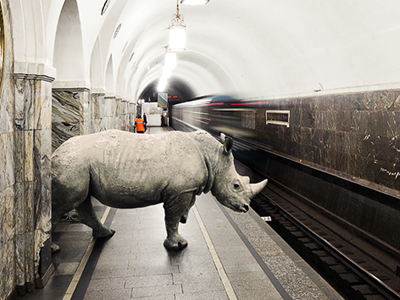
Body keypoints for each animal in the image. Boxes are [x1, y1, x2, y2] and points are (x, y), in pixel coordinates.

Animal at [51, 130, 268, 250]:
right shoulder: (179, 191)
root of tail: (55, 152)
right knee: (66, 202)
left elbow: (181, 213)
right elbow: (172, 218)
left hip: (80, 165)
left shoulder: (185, 189)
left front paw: (183, 222)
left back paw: (106, 233)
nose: (246, 208)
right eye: (236, 185)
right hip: (73, 163)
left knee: (82, 199)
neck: (213, 158)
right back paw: (53, 248)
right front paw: (178, 245)